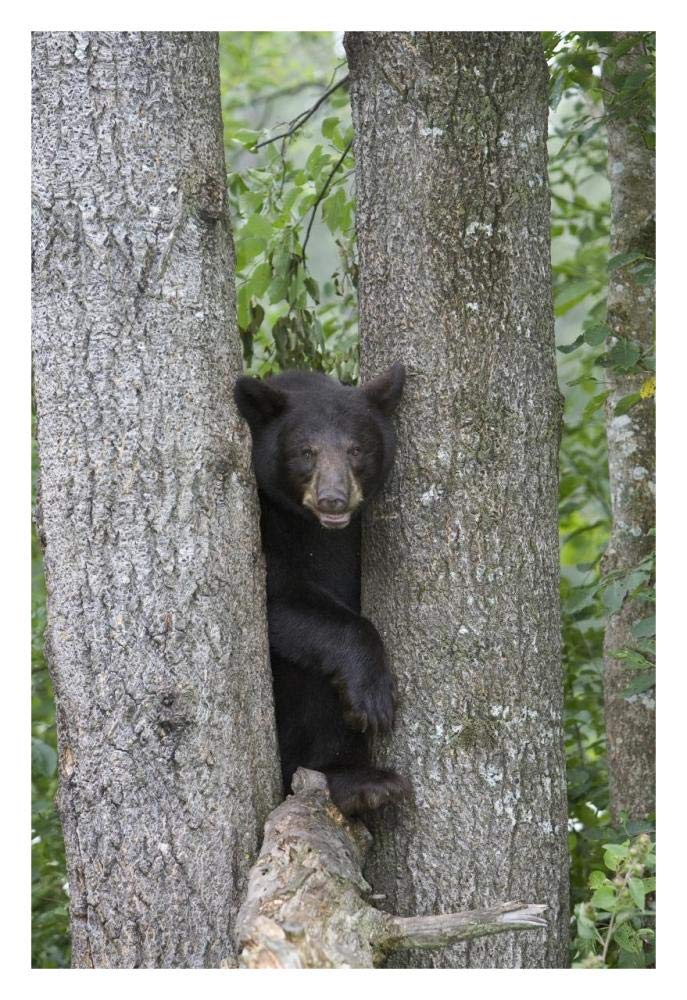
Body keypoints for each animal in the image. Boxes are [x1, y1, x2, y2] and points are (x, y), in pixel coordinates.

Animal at [234, 364, 409, 815]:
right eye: (306, 451)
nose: (333, 499)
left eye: (356, 449)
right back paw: (353, 781)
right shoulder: (265, 523)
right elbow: (279, 596)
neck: (316, 529)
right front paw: (373, 694)